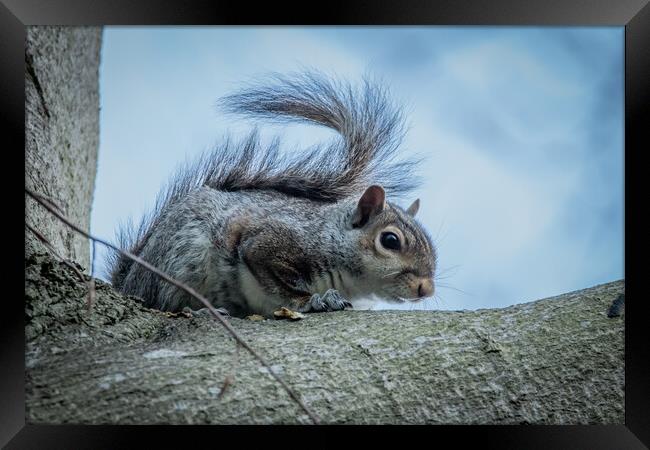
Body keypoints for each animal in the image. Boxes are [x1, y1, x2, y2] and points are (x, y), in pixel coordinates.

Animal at [107, 72, 436, 318]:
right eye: (390, 240)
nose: (427, 289)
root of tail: (130, 283)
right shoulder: (271, 243)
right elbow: (278, 283)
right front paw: (312, 300)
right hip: (182, 257)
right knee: (164, 301)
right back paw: (197, 310)